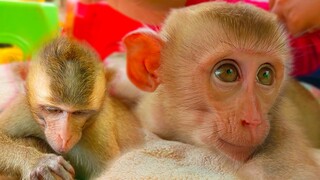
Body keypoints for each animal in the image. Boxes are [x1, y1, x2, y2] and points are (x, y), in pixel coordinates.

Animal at [0, 37, 142, 179]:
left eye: (79, 113)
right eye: (53, 110)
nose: (64, 137)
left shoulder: (99, 132)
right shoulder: (24, 110)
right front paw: (38, 161)